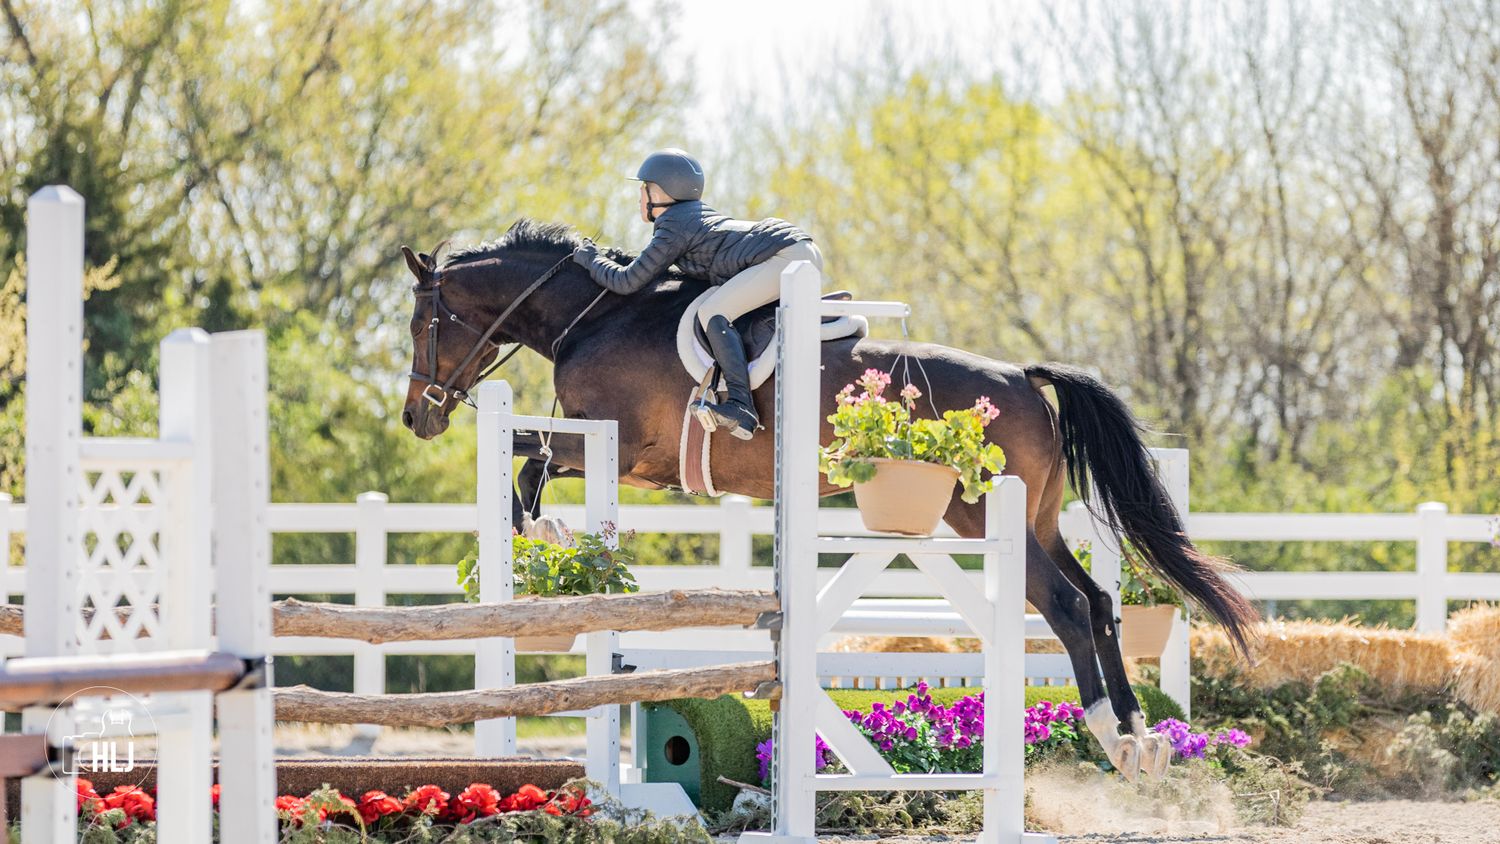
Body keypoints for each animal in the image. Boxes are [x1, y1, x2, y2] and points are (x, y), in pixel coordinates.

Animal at [398, 220, 1256, 779]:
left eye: (421, 322)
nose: (417, 417)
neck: (595, 313)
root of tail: (1021, 375)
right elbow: (527, 462)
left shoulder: (619, 449)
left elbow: (527, 462)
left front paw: (536, 539)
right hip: (1036, 518)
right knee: (1102, 600)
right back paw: (1136, 738)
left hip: (982, 513)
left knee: (1068, 606)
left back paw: (1110, 731)